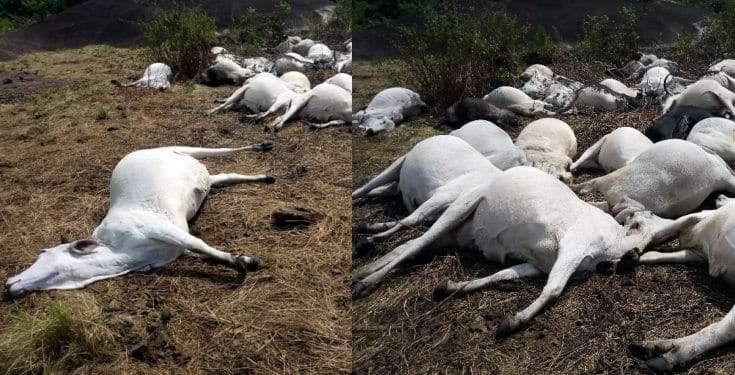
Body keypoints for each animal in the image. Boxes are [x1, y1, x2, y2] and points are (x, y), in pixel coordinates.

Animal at [4, 144, 274, 296]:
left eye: (43, 253)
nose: (8, 283)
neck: (122, 254)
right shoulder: (170, 250)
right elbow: (199, 252)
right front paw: (239, 260)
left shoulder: (160, 227)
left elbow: (198, 243)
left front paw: (244, 261)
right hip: (205, 178)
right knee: (225, 175)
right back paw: (265, 176)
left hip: (180, 147)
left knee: (217, 149)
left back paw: (263, 145)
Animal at [354, 167, 648, 338]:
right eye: (638, 221)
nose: (635, 252)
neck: (613, 241)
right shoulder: (572, 246)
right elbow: (553, 289)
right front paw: (514, 322)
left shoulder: (538, 263)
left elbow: (502, 275)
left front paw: (450, 287)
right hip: (459, 207)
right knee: (415, 239)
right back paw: (366, 280)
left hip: (453, 232)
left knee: (413, 244)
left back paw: (364, 267)